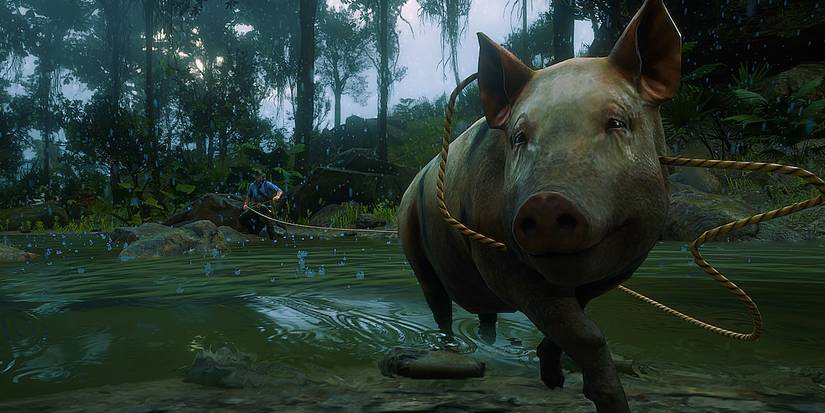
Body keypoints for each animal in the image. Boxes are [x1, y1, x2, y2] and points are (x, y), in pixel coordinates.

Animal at [397, 0, 681, 411]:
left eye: (617, 122)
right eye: (519, 137)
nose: (546, 201)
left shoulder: (622, 265)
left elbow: (574, 322)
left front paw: (554, 381)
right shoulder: (498, 259)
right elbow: (587, 333)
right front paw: (606, 400)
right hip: (411, 240)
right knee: (438, 302)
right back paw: (452, 351)